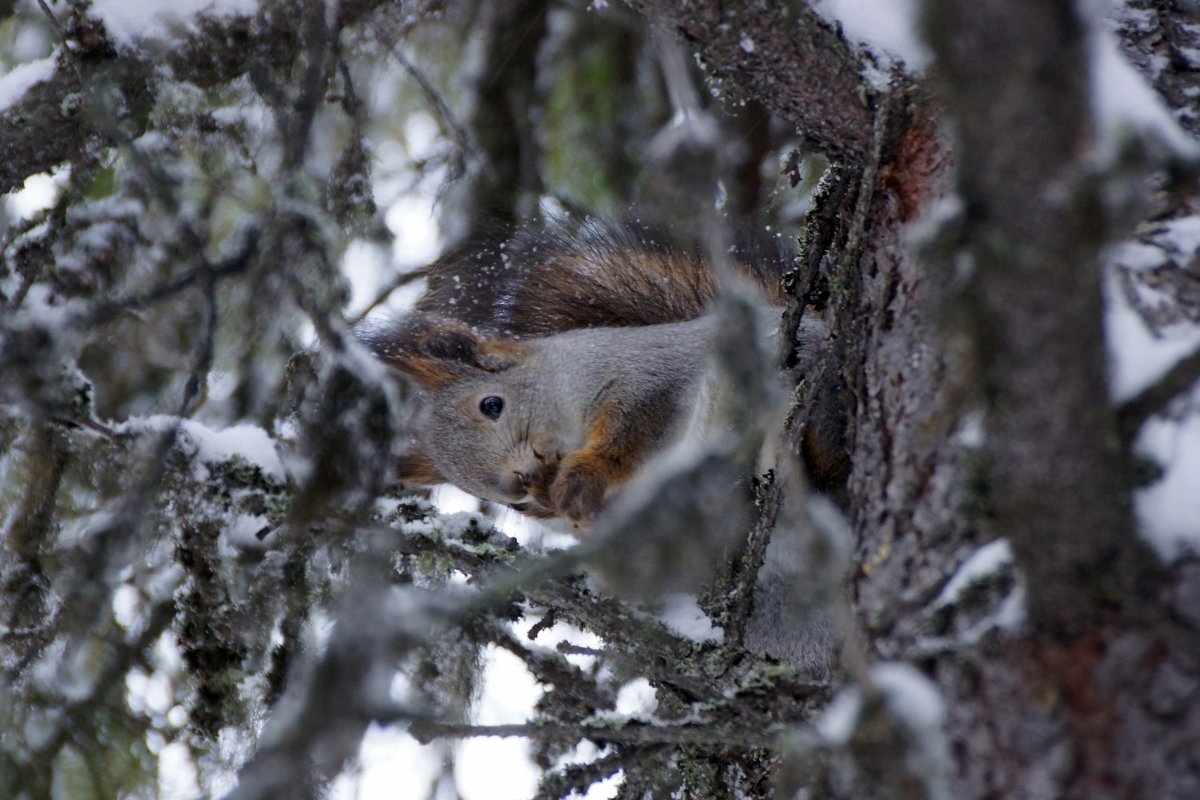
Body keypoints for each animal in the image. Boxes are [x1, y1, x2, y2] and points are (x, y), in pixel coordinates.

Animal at [360, 219, 849, 527]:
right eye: (508, 502)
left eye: (492, 404)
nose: (521, 481)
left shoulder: (648, 378)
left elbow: (630, 435)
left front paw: (582, 477)